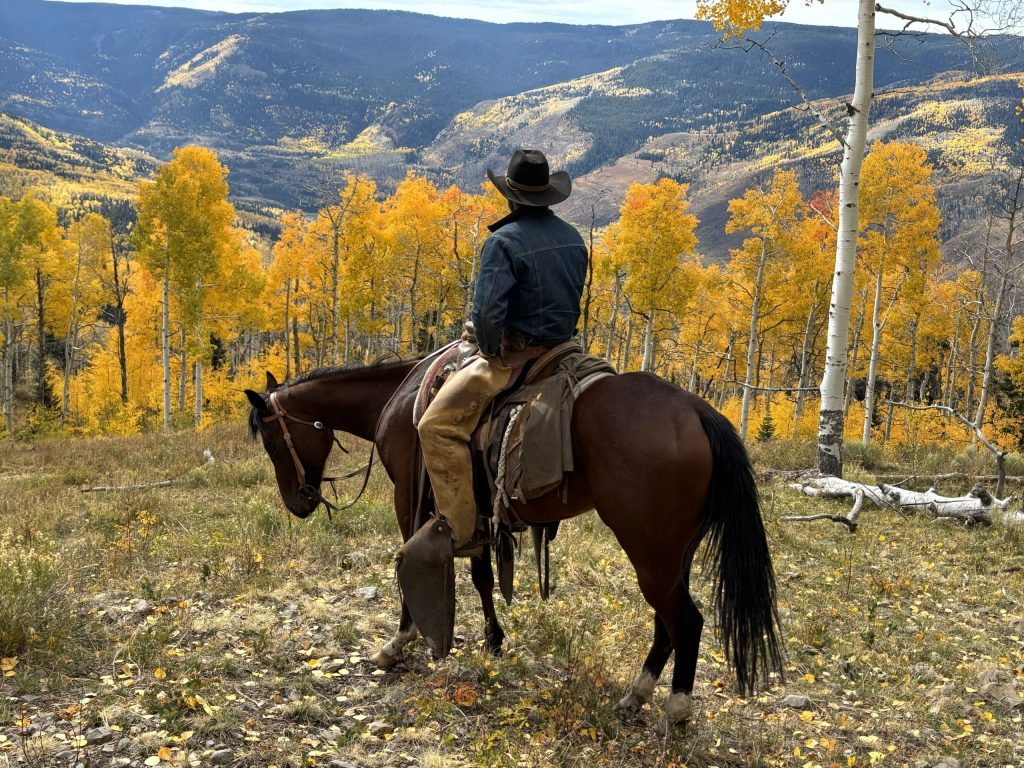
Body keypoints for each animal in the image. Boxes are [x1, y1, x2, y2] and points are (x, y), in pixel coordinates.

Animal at [245, 355, 784, 732]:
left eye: (271, 441)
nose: (298, 502)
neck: (396, 402)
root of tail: (695, 408)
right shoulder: (476, 509)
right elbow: (483, 576)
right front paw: (493, 640)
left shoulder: (410, 499)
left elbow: (408, 573)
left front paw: (397, 643)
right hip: (671, 553)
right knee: (667, 621)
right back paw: (635, 697)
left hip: (650, 550)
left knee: (685, 621)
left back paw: (674, 712)